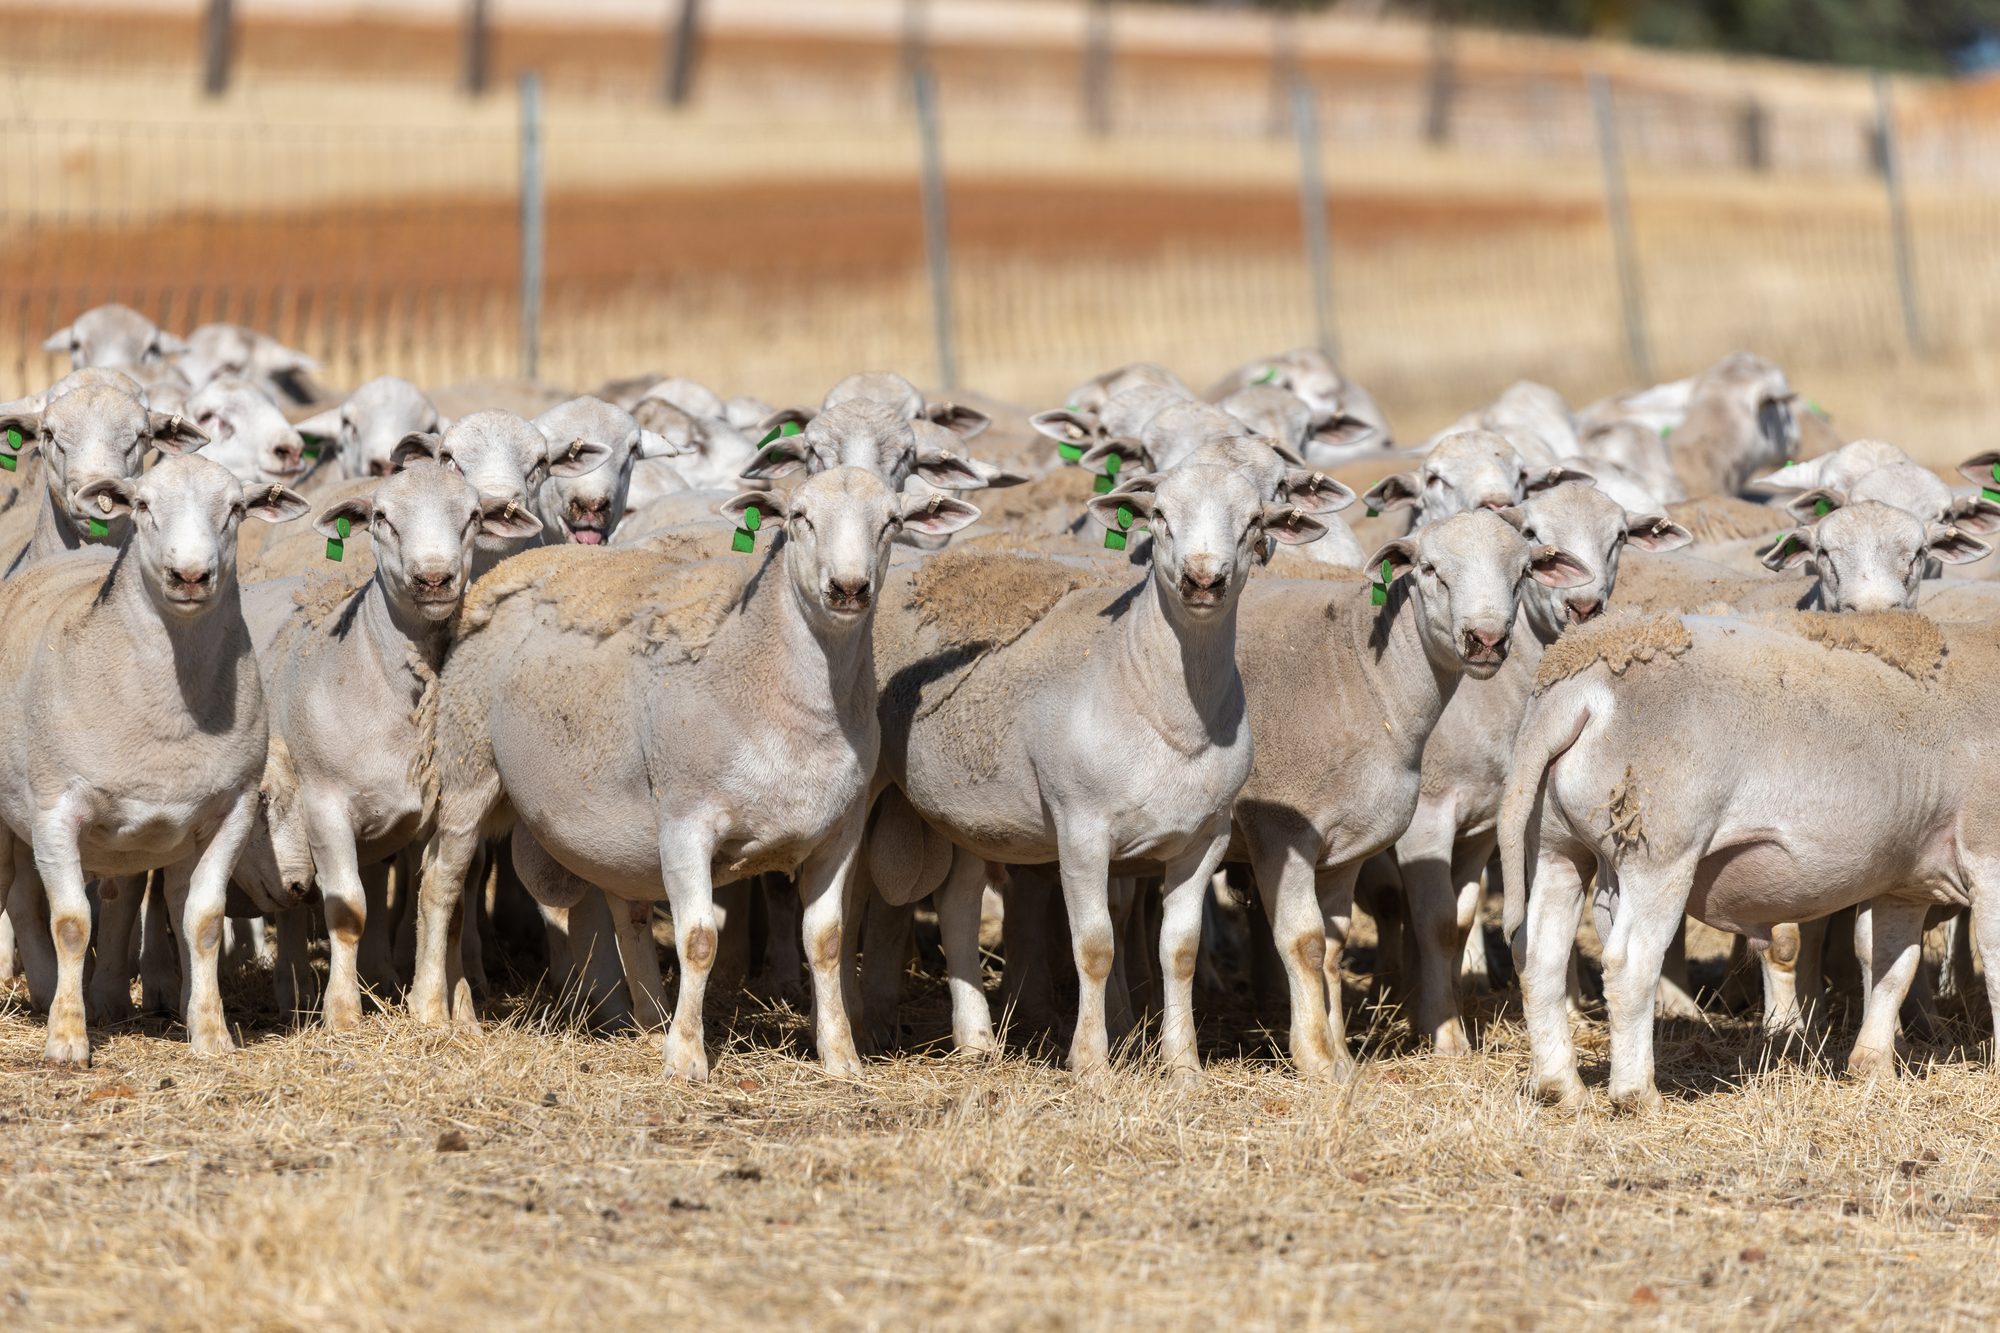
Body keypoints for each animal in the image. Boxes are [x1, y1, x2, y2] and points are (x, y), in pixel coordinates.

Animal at [0, 455, 306, 1063]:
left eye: (236, 509)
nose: (189, 576)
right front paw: (67, 1039)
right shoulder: (54, 813)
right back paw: (48, 993)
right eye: (142, 505)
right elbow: (72, 923)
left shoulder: (228, 812)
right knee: (21, 899)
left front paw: (210, 1034)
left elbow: (203, 920)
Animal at [258, 461, 543, 1029]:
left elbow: (444, 901)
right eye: (381, 517)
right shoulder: (323, 804)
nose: (433, 578)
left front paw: (438, 1011)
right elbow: (347, 908)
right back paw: (294, 991)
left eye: (473, 515)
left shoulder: (458, 811)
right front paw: (343, 1016)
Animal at [408, 467, 981, 1079]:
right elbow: (699, 940)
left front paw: (841, 1057)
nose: (848, 589)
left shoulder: (840, 832)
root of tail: (510, 570)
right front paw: (686, 1058)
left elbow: (826, 940)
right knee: (442, 882)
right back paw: (432, 1011)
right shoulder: (687, 821)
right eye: (799, 517)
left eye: (892, 522)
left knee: (626, 908)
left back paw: (646, 1020)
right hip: (468, 766)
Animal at [873, 463, 1330, 1074]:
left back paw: (976, 1041)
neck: (1162, 704)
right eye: (1159, 514)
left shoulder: (1204, 838)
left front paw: (1183, 1066)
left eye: (1256, 519)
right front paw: (1091, 1064)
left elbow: (1180, 951)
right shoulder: (1081, 828)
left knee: (959, 907)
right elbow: (1094, 947)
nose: (1202, 580)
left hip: (966, 813)